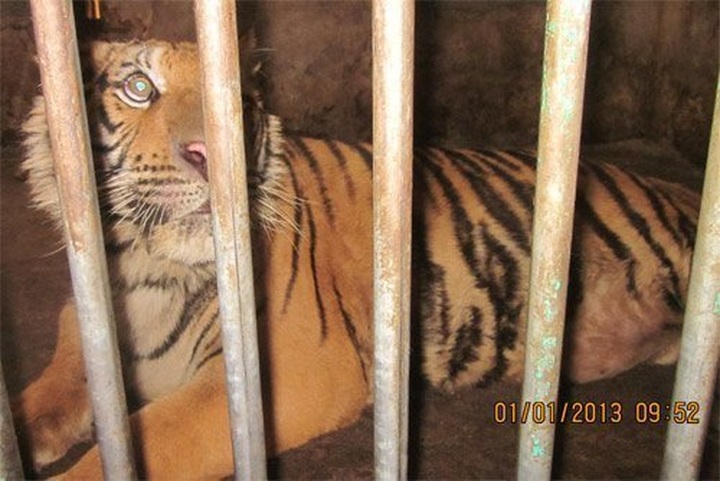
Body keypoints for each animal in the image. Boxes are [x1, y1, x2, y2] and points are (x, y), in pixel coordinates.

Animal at [12, 38, 699, 479]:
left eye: (238, 103)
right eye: (138, 88)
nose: (208, 153)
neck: (146, 271)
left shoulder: (287, 370)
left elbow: (149, 440)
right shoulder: (85, 321)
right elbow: (53, 387)